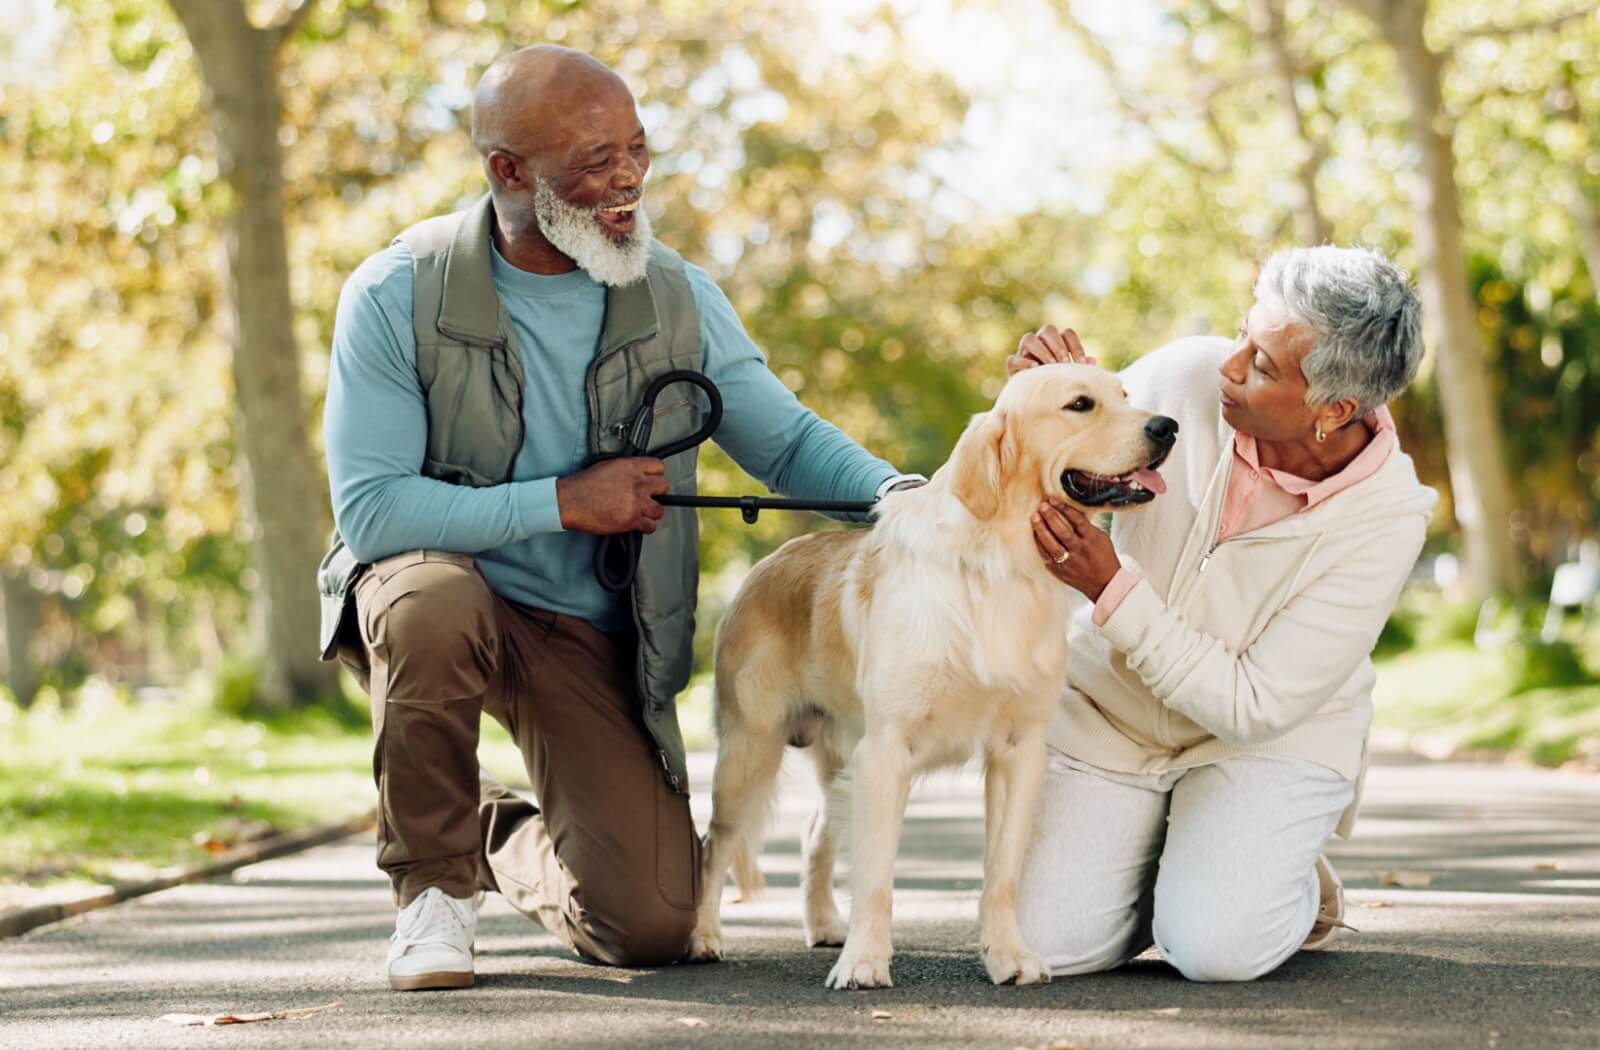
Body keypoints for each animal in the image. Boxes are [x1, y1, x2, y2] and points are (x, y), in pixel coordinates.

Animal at [688, 361, 1177, 985]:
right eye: (1080, 404)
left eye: (1124, 395)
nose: (1167, 427)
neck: (1000, 567)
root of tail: (766, 563)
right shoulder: (886, 751)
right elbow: (876, 879)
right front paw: (865, 962)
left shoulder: (1018, 750)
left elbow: (1002, 874)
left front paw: (1008, 955)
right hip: (751, 751)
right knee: (715, 843)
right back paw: (704, 936)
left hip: (836, 757)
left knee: (814, 834)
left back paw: (824, 924)